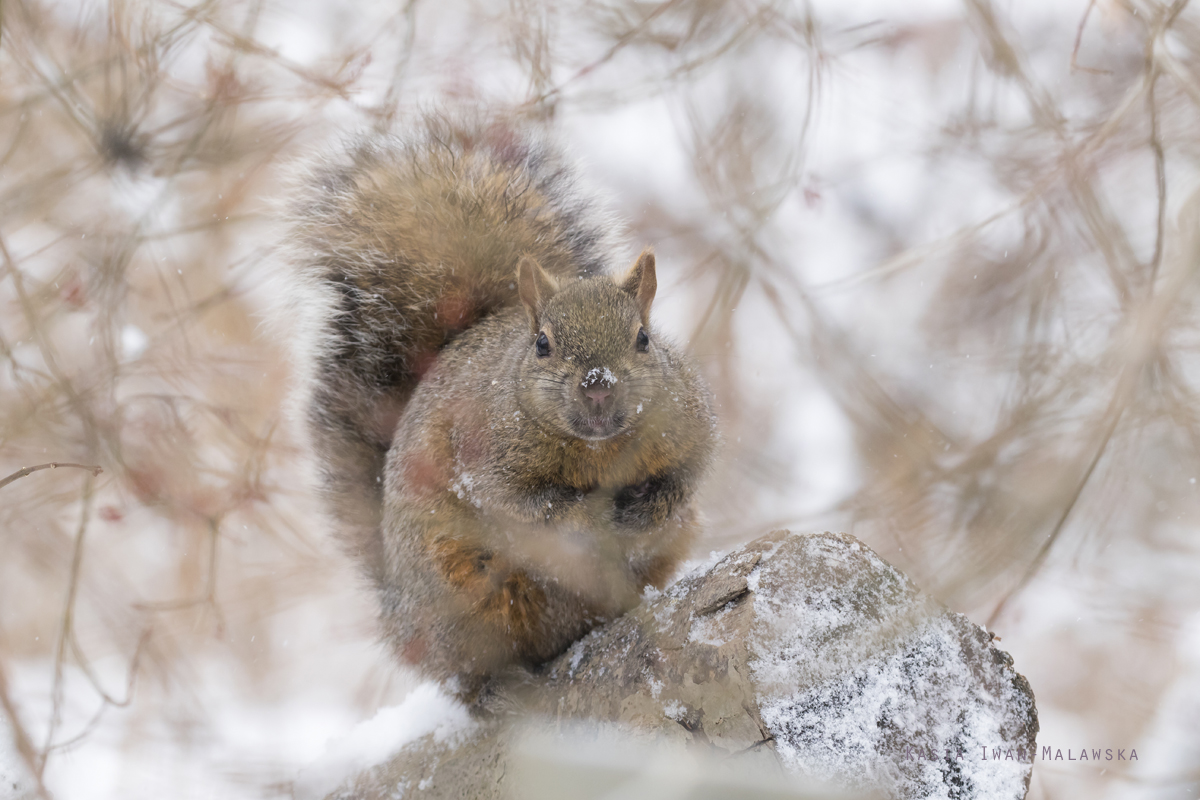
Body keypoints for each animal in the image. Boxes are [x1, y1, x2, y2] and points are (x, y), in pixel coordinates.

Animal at [280, 110, 710, 700]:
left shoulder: (690, 423)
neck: (597, 451)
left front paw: (648, 506)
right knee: (469, 666)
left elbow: (686, 478)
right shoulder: (481, 451)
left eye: (643, 338)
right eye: (543, 344)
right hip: (458, 598)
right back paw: (496, 687)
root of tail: (396, 610)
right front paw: (586, 513)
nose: (598, 385)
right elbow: (521, 503)